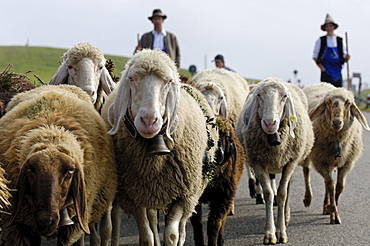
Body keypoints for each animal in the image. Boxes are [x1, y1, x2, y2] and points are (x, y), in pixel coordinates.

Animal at [0, 85, 117, 246]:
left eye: (70, 171)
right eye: (31, 170)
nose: (46, 222)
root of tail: (55, 85)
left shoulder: (71, 226)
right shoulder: (21, 228)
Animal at [99, 49, 218, 245]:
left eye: (169, 81)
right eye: (131, 78)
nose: (149, 121)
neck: (153, 164)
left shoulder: (183, 195)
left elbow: (171, 234)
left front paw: (173, 238)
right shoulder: (134, 195)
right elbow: (146, 236)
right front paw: (150, 239)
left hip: (193, 193)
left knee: (182, 225)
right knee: (153, 220)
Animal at [237, 77, 312, 244]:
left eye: (284, 96)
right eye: (259, 95)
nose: (270, 123)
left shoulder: (290, 162)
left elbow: (283, 194)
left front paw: (281, 232)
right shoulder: (258, 163)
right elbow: (268, 194)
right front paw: (270, 233)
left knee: (288, 189)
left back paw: (285, 217)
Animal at [302, 81, 368, 224]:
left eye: (348, 103)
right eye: (328, 102)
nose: (337, 122)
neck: (337, 139)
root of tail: (321, 83)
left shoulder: (347, 163)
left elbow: (339, 186)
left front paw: (333, 208)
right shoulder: (321, 162)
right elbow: (331, 185)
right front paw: (334, 214)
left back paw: (326, 206)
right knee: (307, 171)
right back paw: (308, 198)